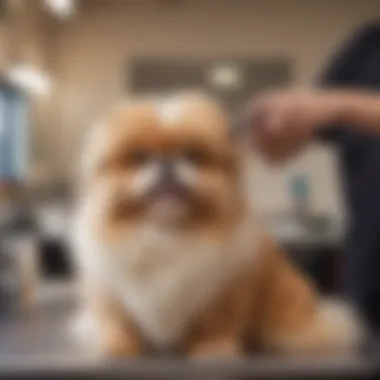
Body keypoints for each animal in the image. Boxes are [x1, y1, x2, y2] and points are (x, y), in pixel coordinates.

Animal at [72, 93, 366, 358]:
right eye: (141, 158)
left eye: (192, 155)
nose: (167, 163)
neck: (167, 233)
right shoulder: (110, 291)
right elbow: (118, 323)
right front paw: (119, 347)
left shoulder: (223, 292)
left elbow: (216, 324)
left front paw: (212, 348)